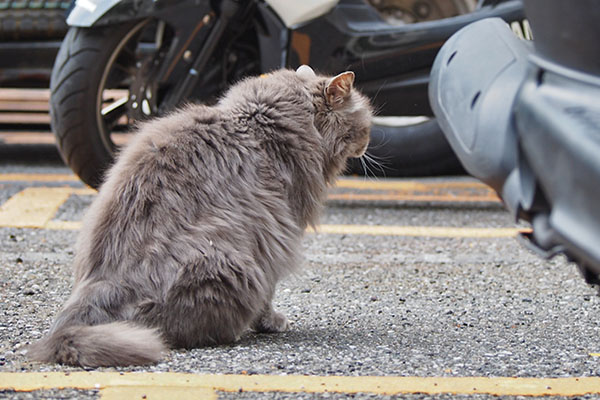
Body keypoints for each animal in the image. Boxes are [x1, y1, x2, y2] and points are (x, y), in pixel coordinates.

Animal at [31, 64, 376, 368]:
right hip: (232, 263)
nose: (368, 142)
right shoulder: (279, 234)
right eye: (365, 125)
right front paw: (271, 322)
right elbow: (271, 291)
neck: (265, 122)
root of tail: (97, 287)